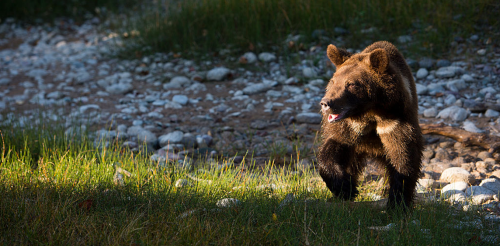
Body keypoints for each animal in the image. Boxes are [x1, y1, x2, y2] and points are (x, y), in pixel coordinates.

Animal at [316, 40, 422, 209]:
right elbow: (333, 147)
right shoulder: (348, 127)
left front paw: (397, 202)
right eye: (333, 81)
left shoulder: (395, 122)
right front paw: (345, 187)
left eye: (351, 84)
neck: (370, 112)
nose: (326, 103)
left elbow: (403, 156)